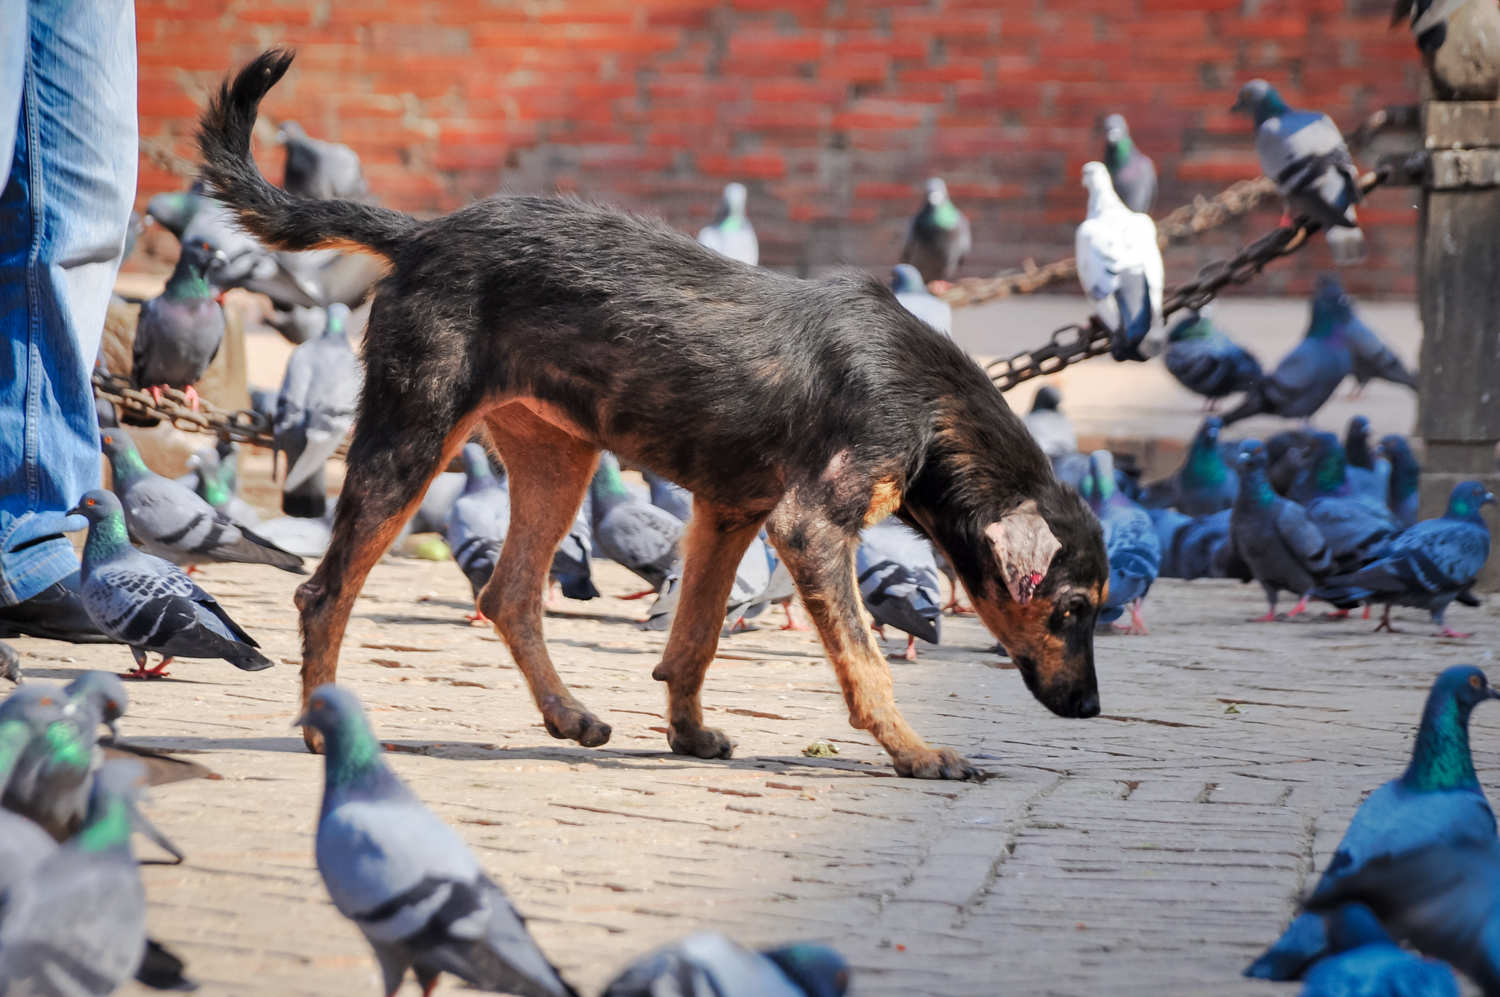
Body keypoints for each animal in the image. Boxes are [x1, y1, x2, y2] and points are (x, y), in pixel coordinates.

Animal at [196, 52, 1116, 779]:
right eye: (1072, 609)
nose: (1090, 711)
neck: (928, 402)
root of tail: (420, 233)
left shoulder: (730, 510)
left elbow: (695, 638)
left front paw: (687, 733)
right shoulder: (811, 527)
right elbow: (864, 659)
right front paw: (917, 751)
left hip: (555, 462)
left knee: (509, 594)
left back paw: (566, 714)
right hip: (408, 443)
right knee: (325, 592)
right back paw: (325, 731)